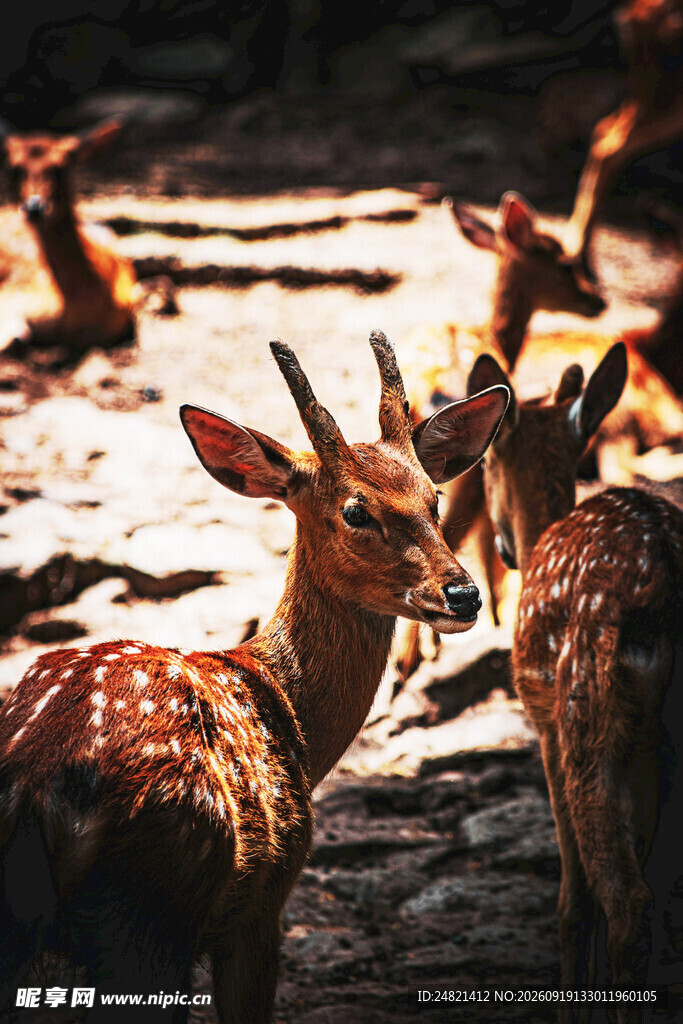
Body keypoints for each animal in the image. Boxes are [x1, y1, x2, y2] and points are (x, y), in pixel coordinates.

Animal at [0, 331, 509, 1022]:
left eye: (434, 498)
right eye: (356, 511)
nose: (462, 594)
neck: (291, 716)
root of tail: (37, 785)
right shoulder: (262, 905)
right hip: (154, 906)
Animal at [468, 341, 683, 1021]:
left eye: (487, 468)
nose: (505, 548)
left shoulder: (545, 727)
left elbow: (572, 900)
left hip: (587, 712)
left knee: (628, 905)